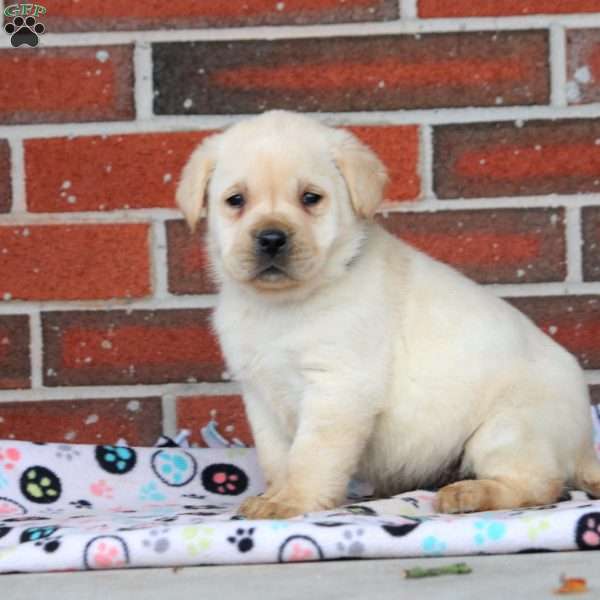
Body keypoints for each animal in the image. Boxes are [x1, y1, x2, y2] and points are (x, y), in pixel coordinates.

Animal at [176, 110, 596, 516]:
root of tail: (585, 446)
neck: (284, 304)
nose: (271, 238)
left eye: (311, 198)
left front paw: (291, 502)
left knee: (538, 485)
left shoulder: (337, 388)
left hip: (509, 428)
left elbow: (310, 457)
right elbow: (278, 459)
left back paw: (470, 493)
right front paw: (275, 495)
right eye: (236, 200)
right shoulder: (261, 397)